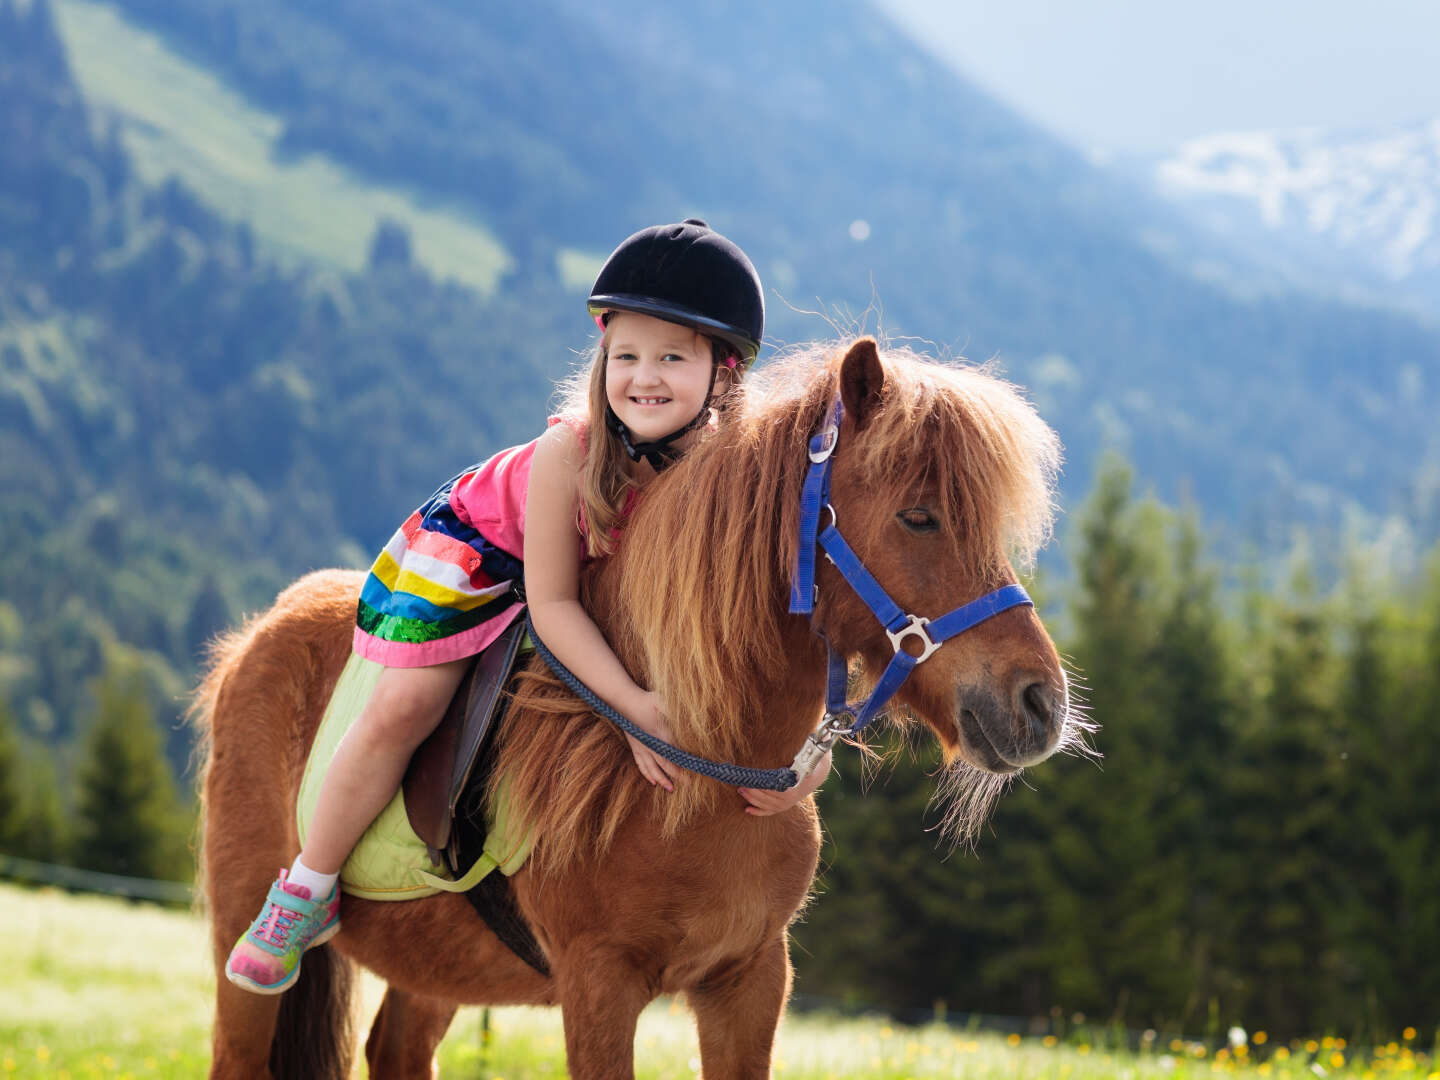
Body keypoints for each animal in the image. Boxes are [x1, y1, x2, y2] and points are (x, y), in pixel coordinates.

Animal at [197, 334, 1082, 1077]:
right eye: (918, 516)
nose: (1041, 704)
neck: (707, 781)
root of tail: (264, 631)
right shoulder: (599, 983)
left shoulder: (751, 979)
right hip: (247, 941)